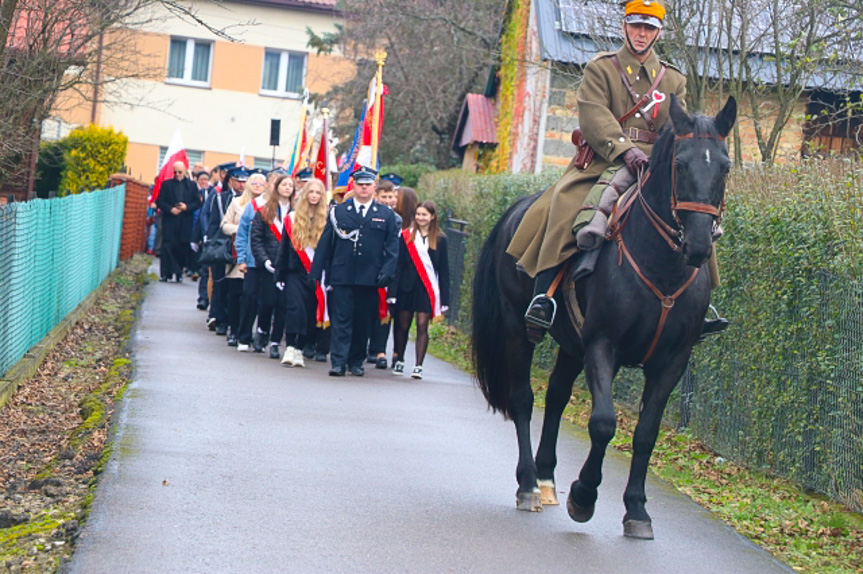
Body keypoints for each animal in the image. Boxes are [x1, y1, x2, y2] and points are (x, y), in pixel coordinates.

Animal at [472, 94, 736, 540]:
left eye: (725, 166)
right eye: (681, 164)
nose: (699, 245)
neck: (662, 266)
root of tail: (517, 209)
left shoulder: (671, 362)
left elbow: (645, 433)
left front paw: (637, 510)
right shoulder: (602, 345)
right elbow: (603, 423)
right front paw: (584, 495)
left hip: (571, 345)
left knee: (556, 396)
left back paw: (547, 478)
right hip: (517, 329)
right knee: (524, 399)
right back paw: (529, 485)